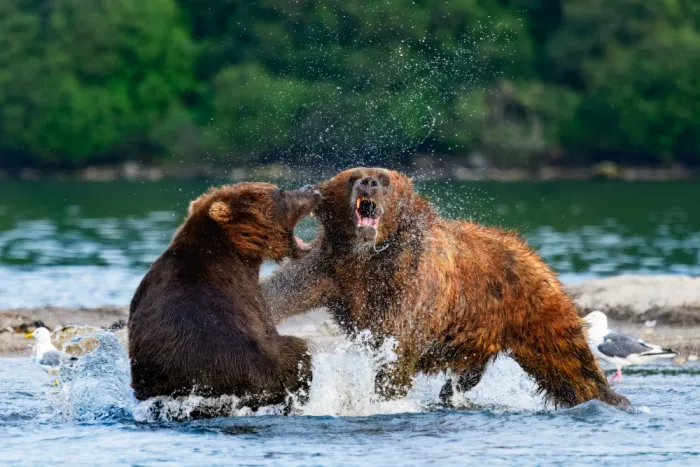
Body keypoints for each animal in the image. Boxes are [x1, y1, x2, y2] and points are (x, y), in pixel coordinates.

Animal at [263, 168, 630, 408]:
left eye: (384, 179)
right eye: (354, 176)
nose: (369, 183)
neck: (366, 256)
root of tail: (530, 252)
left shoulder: (411, 282)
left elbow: (399, 343)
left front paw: (382, 397)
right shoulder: (326, 268)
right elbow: (279, 293)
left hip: (532, 303)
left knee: (567, 360)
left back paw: (609, 397)